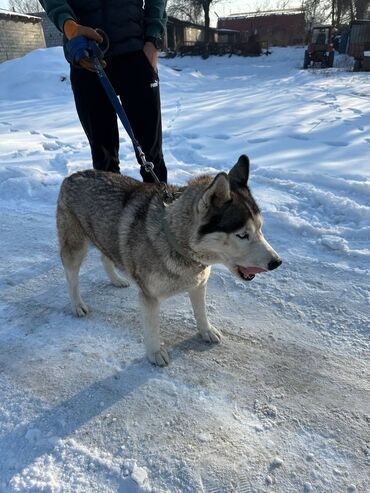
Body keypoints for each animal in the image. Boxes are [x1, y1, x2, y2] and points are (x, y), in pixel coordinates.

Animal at [56, 155, 282, 366]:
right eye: (242, 235)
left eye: (260, 229)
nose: (277, 262)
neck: (174, 239)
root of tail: (72, 176)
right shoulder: (149, 296)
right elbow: (152, 328)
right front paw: (155, 352)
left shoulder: (198, 284)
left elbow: (201, 312)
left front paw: (206, 331)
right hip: (75, 247)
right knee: (71, 276)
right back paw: (77, 304)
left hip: (106, 237)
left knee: (106, 256)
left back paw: (116, 279)